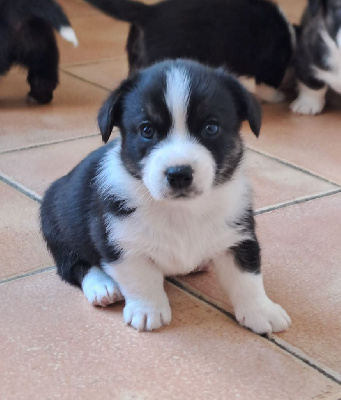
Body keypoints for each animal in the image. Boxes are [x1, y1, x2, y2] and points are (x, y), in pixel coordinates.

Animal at [39, 59, 290, 334]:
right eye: (147, 130)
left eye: (211, 127)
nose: (179, 174)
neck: (181, 210)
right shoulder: (120, 242)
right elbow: (141, 279)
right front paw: (148, 311)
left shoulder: (237, 234)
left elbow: (247, 277)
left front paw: (262, 312)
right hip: (57, 227)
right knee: (74, 266)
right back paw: (102, 287)